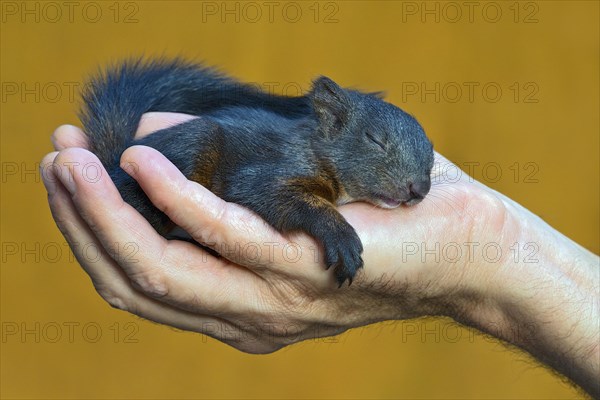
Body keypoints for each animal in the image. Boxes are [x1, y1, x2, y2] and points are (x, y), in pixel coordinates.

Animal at [81, 57, 436, 288]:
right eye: (374, 139)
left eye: (432, 155)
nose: (418, 190)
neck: (314, 149)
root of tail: (115, 164)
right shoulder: (265, 173)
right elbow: (282, 198)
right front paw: (341, 237)